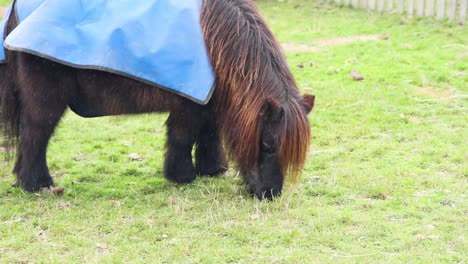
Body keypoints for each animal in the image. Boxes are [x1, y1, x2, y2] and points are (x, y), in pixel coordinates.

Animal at [1, 0, 314, 199]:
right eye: (267, 146)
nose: (270, 194)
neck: (218, 38)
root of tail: (16, 12)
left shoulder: (209, 101)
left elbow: (209, 135)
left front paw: (211, 170)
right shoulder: (188, 105)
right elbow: (182, 137)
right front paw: (182, 175)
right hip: (45, 101)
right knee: (35, 136)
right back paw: (37, 184)